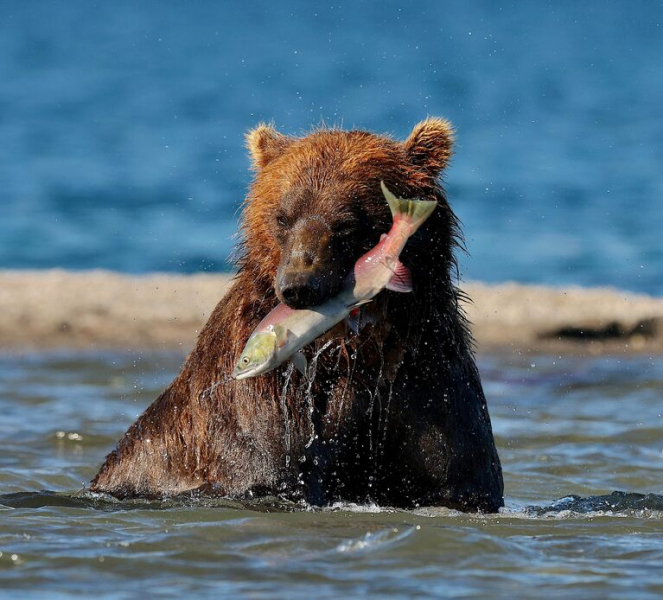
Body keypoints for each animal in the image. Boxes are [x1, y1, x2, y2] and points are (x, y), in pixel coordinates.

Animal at [92, 117, 504, 510]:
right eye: (283, 217)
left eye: (346, 223)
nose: (298, 284)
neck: (347, 347)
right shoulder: (260, 402)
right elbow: (267, 465)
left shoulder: (422, 380)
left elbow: (456, 472)